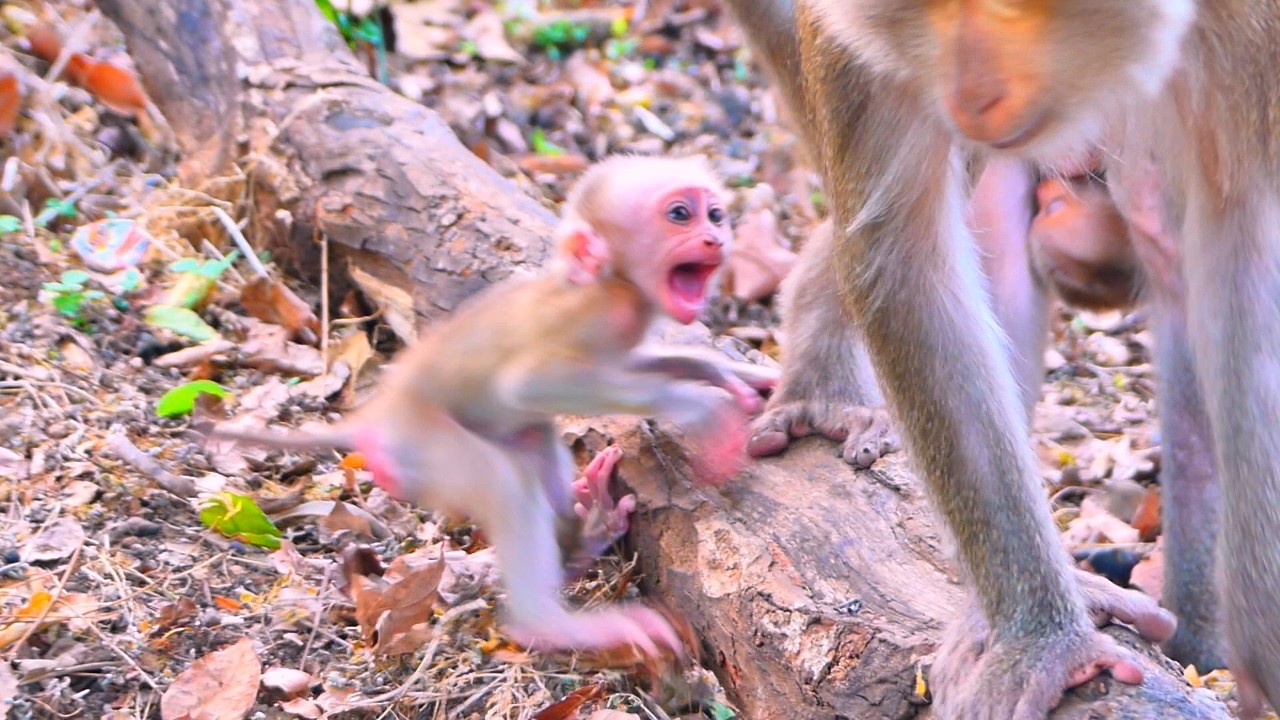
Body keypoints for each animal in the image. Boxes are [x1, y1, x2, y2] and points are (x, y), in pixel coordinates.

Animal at [204, 154, 780, 659]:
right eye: (679, 214)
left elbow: (639, 364)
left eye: (715, 214)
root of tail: (379, 409)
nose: (715, 237)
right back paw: (547, 624)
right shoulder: (599, 314)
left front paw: (732, 376)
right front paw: (698, 408)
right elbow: (526, 386)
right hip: (420, 441)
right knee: (504, 481)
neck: (612, 281)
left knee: (533, 439)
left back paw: (583, 541)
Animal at [719, 2, 1280, 718]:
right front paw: (1041, 637)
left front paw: (1259, 632)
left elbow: (1236, 237)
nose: (972, 96)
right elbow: (905, 259)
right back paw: (821, 377)